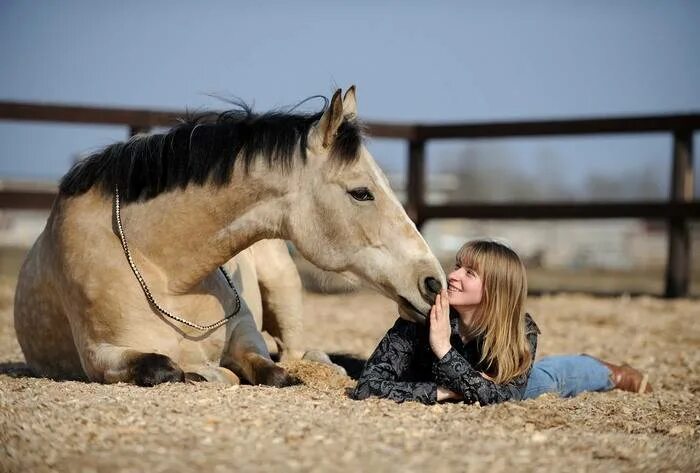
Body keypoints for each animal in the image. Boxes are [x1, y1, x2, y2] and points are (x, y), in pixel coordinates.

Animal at [13, 86, 446, 386]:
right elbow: (164, 368)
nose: (433, 283)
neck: (165, 271)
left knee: (298, 352)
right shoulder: (101, 356)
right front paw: (205, 373)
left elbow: (273, 371)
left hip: (284, 285)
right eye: (361, 192)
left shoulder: (246, 337)